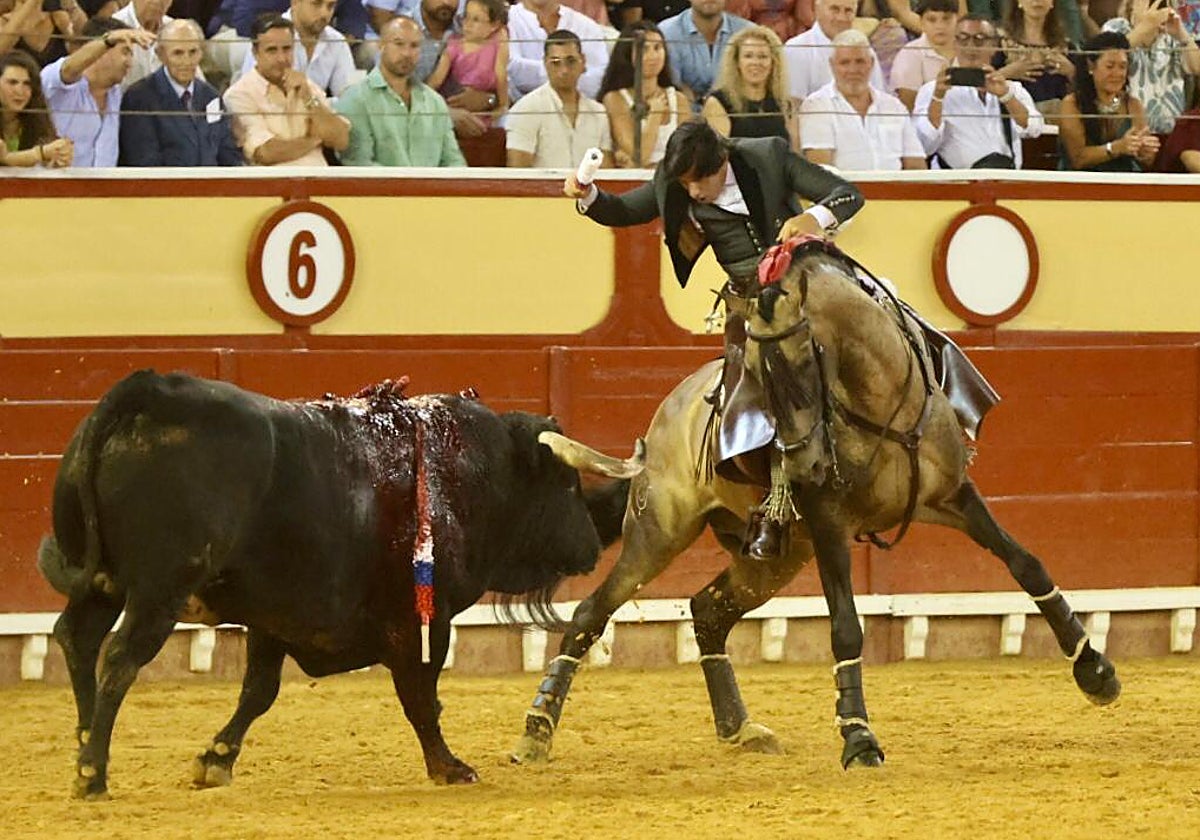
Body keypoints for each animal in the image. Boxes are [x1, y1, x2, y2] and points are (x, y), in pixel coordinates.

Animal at [514, 239, 1121, 770]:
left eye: (807, 361)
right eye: (750, 375)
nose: (804, 466)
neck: (881, 403)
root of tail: (666, 414)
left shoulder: (951, 495)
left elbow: (1025, 561)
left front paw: (1095, 671)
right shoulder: (830, 521)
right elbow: (846, 626)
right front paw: (858, 736)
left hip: (775, 556)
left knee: (707, 611)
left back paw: (739, 728)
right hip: (661, 528)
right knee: (591, 613)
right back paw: (536, 731)